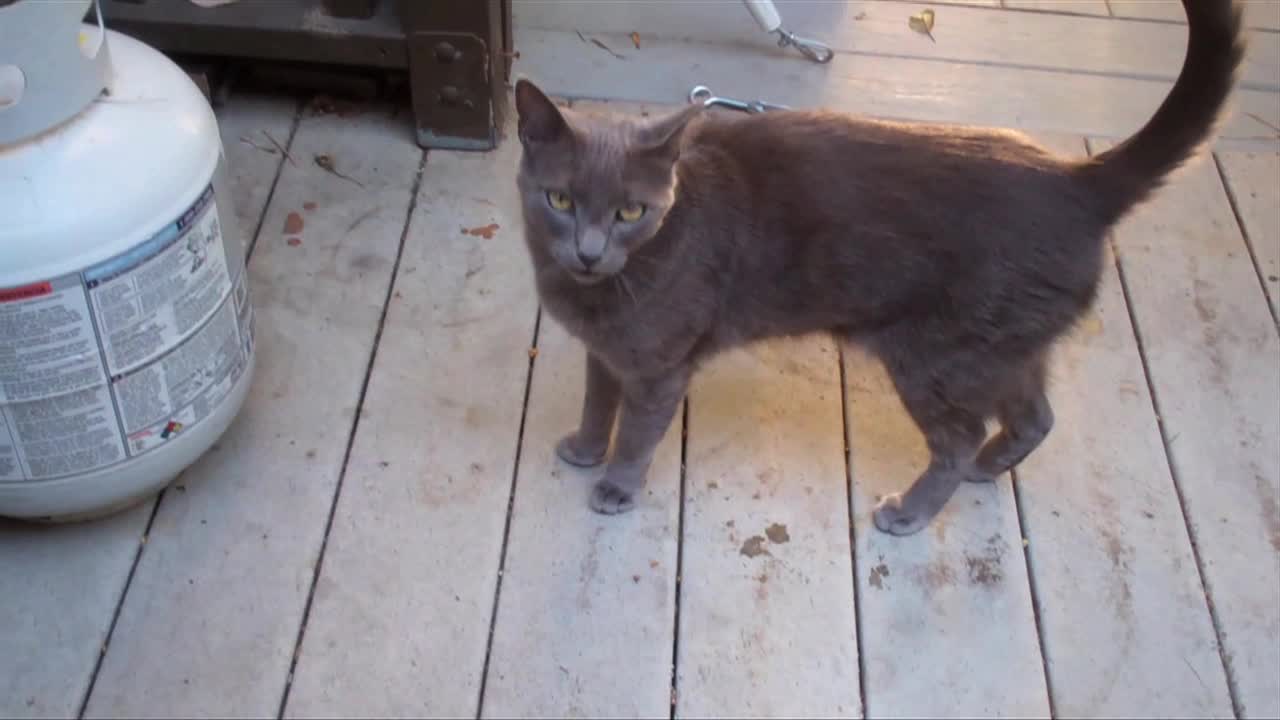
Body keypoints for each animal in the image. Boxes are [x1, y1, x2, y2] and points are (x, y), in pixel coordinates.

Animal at [506, 0, 1239, 532]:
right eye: (560, 199)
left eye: (631, 211)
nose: (589, 251)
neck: (598, 293)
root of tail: (1078, 180)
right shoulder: (607, 352)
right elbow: (598, 402)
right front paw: (584, 447)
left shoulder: (660, 364)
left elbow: (637, 430)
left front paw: (615, 485)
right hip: (1002, 347)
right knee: (1035, 417)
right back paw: (986, 468)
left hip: (938, 354)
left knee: (959, 434)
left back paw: (910, 511)